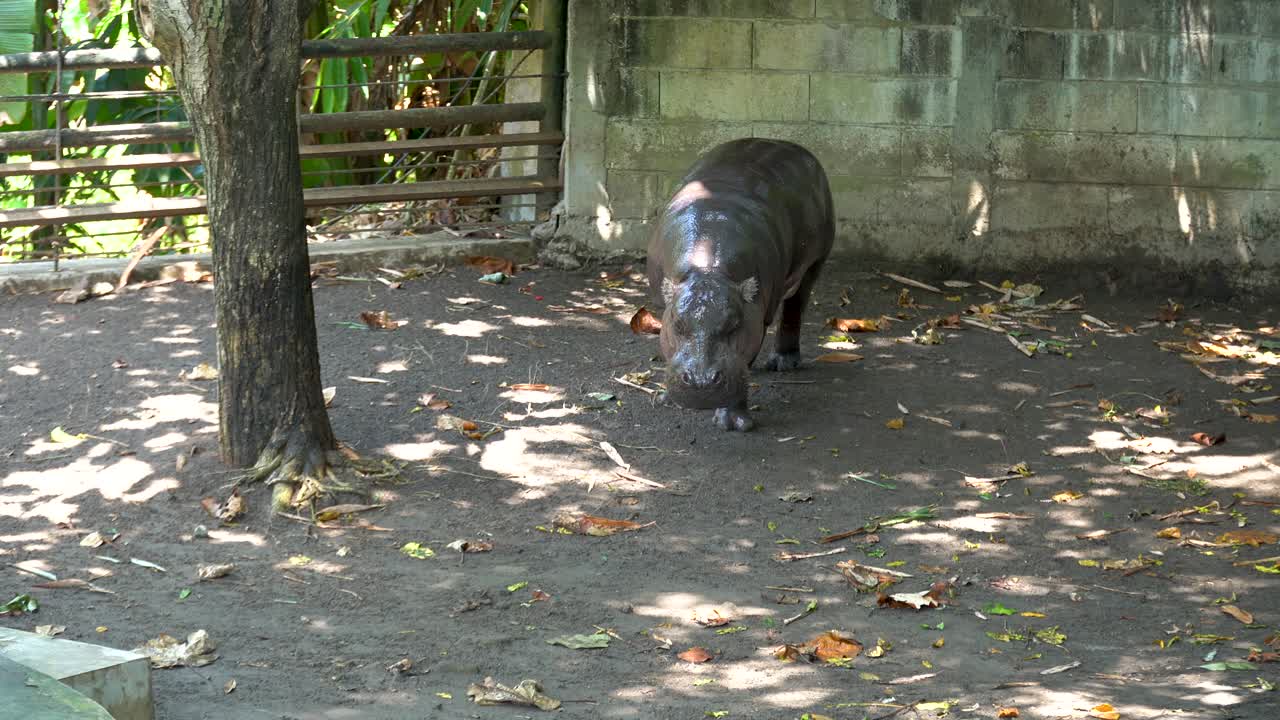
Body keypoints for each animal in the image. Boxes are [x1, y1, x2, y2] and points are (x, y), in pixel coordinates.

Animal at [646, 138, 834, 431]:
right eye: (677, 325)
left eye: (734, 325)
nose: (701, 382)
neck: (709, 271)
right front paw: (667, 398)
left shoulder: (756, 316)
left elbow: (744, 359)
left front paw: (734, 423)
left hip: (816, 260)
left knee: (795, 306)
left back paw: (783, 362)